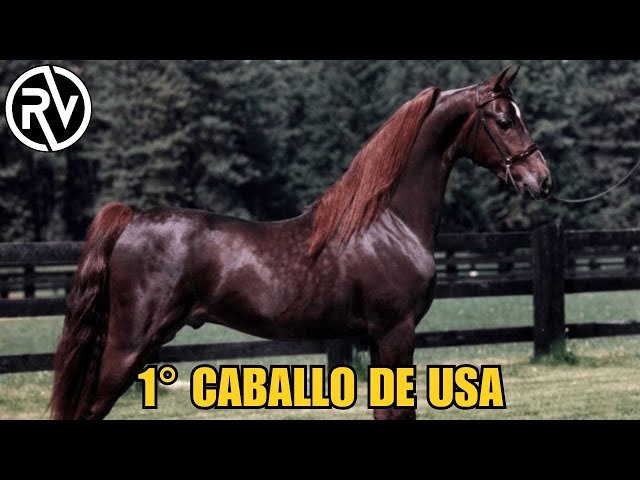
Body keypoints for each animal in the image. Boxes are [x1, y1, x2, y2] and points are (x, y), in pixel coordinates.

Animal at [51, 66, 551, 420]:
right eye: (504, 121)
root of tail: (131, 220)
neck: (389, 222)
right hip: (129, 344)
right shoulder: (396, 332)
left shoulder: (378, 338)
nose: (542, 180)